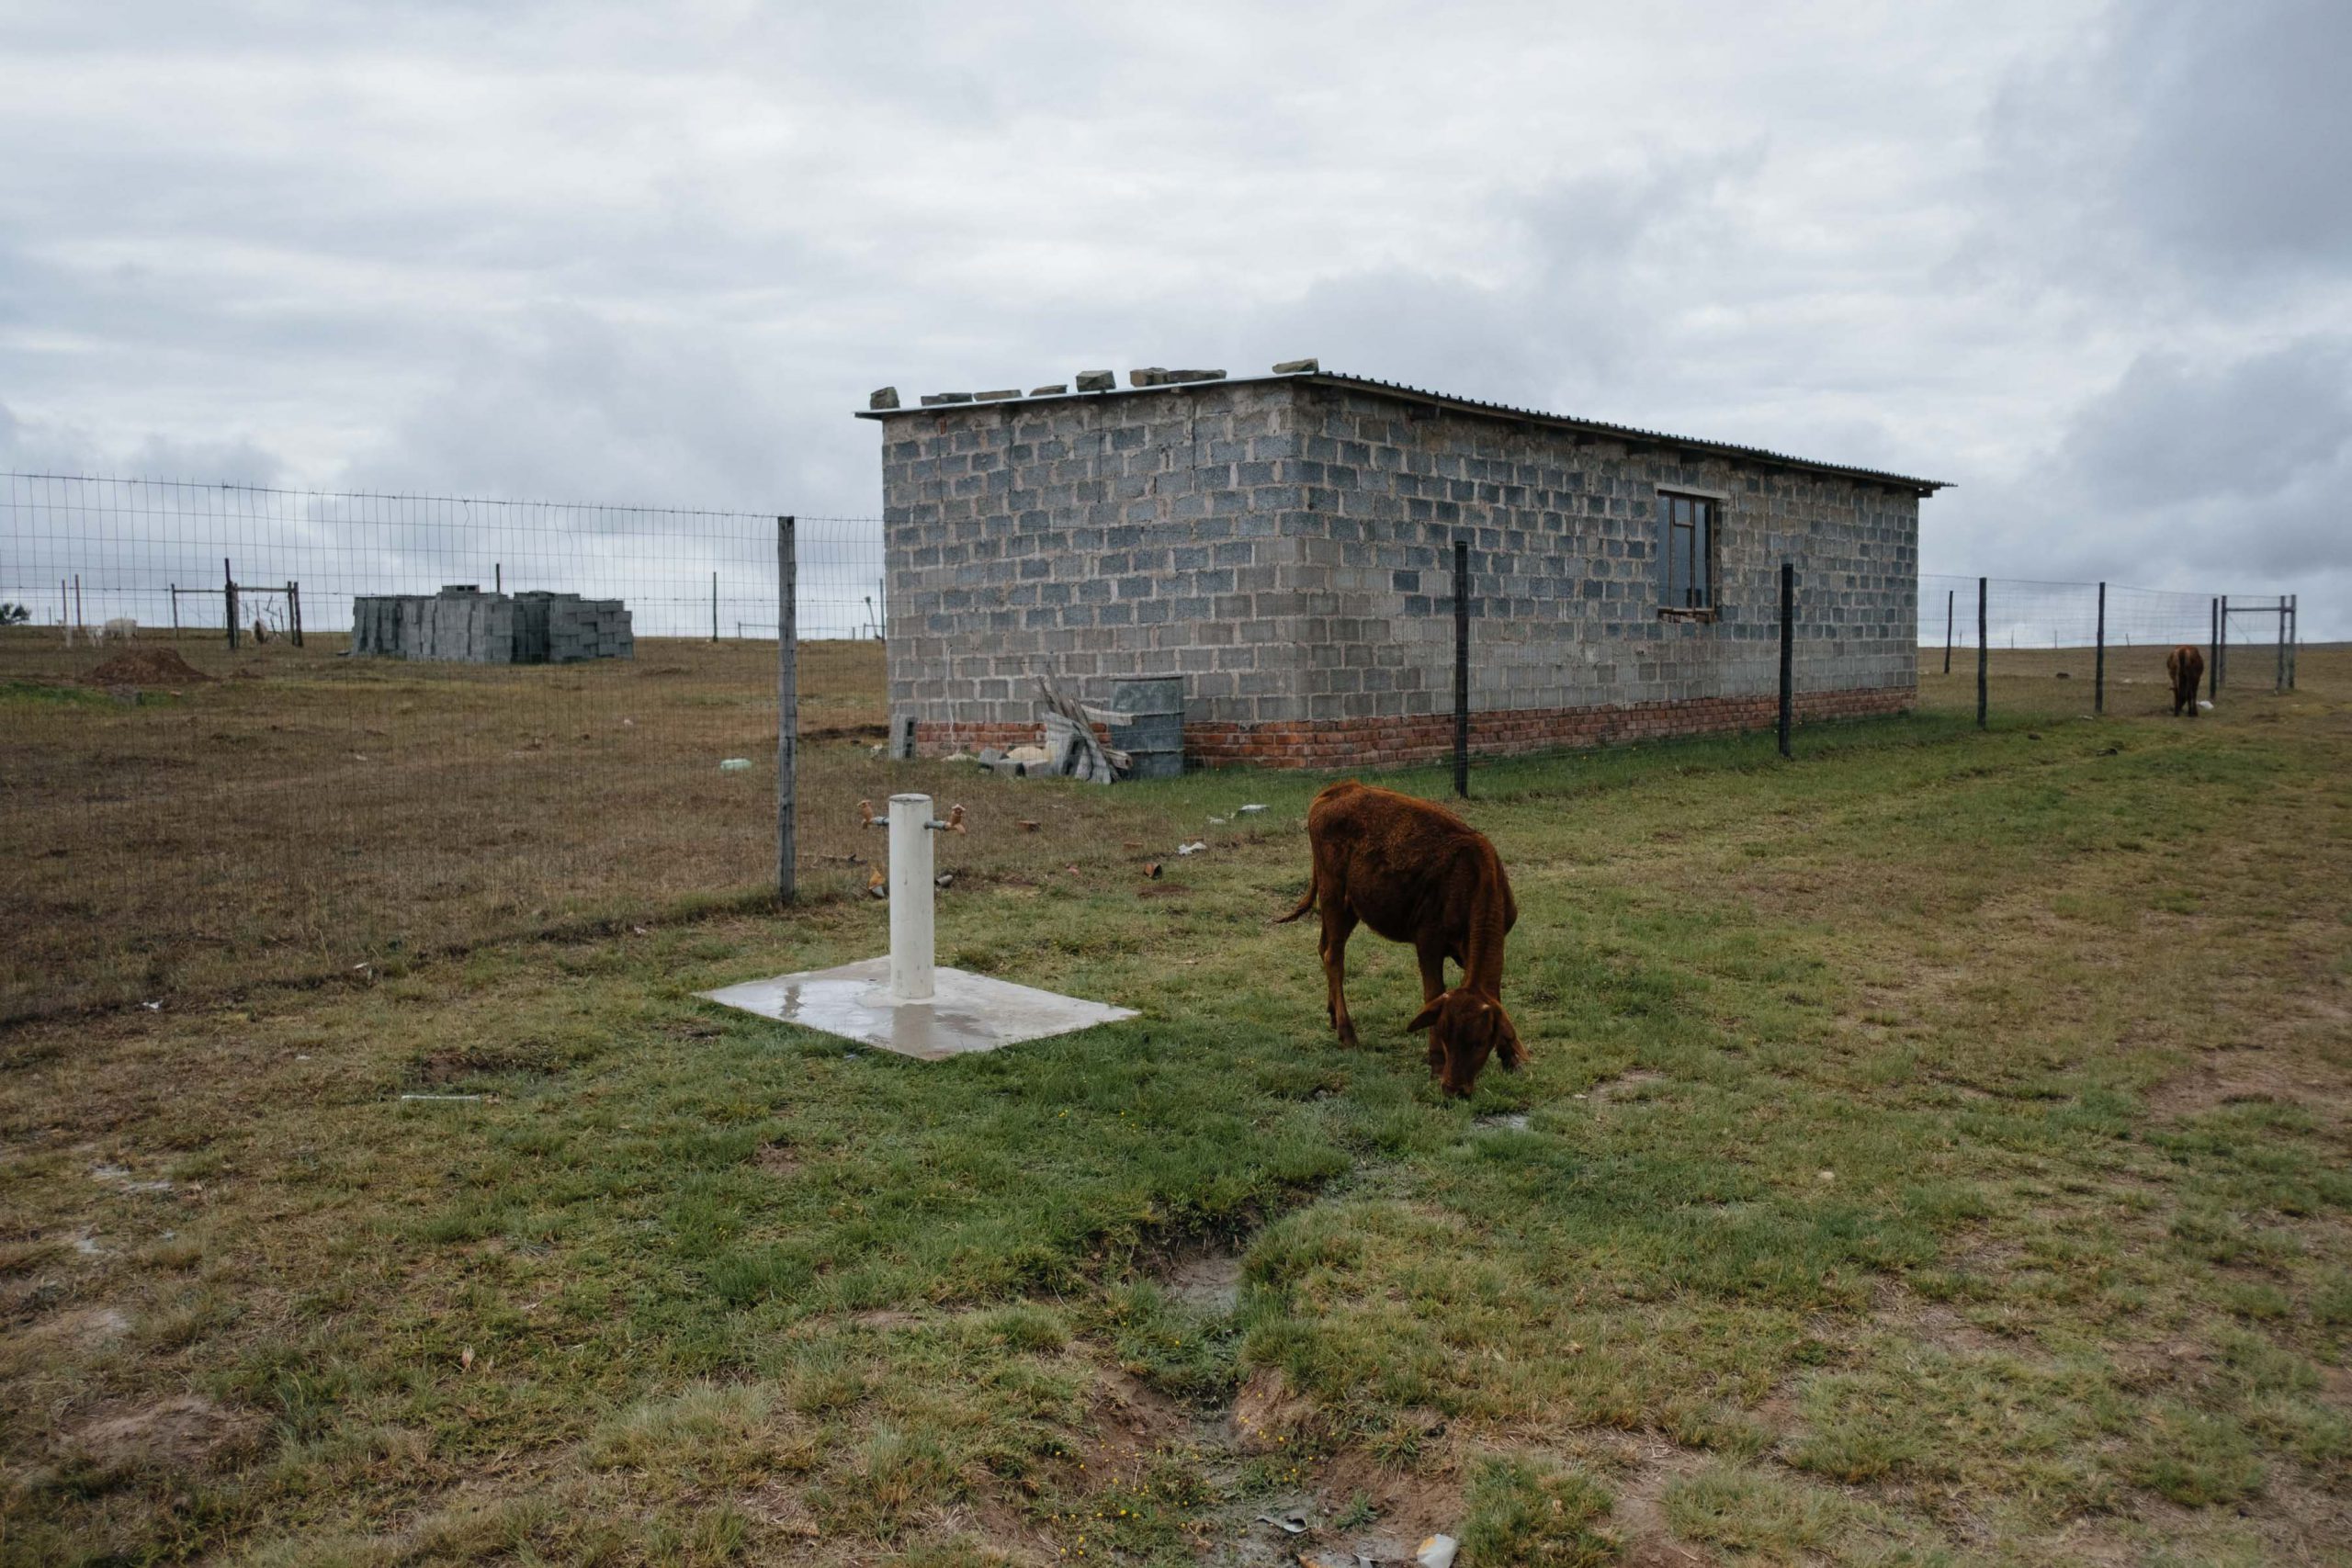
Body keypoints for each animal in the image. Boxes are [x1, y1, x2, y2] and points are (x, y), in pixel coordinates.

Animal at [1279, 780, 1533, 1100]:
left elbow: (1494, 995)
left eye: (1478, 1042)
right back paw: (1348, 1033)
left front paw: (1511, 1056)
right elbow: (1433, 993)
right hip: (1333, 895)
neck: (1472, 879)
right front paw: (1436, 1061)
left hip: (1349, 905)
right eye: (1445, 1032)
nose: (1453, 1089)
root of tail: (1341, 788)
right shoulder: (1428, 941)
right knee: (1333, 957)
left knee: (1323, 947)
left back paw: (1333, 1014)